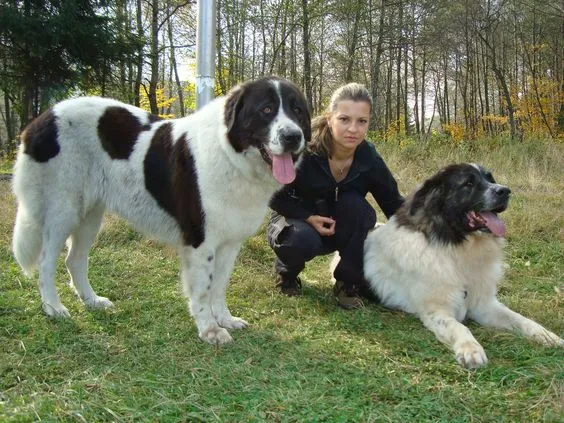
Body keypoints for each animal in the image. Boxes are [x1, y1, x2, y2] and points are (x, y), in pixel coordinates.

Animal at [13, 78, 310, 346]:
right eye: (266, 110)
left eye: (297, 110)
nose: (293, 136)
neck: (232, 157)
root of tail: (42, 119)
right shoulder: (200, 242)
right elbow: (203, 290)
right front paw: (209, 330)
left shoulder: (229, 243)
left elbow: (219, 286)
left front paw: (225, 319)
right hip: (64, 210)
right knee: (46, 261)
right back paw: (53, 307)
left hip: (90, 215)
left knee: (74, 259)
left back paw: (92, 300)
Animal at [360, 164, 560, 370]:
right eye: (468, 183)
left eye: (490, 178)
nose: (505, 191)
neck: (456, 247)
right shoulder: (437, 310)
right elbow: (459, 327)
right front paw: (471, 350)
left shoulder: (484, 304)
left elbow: (518, 318)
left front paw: (546, 335)